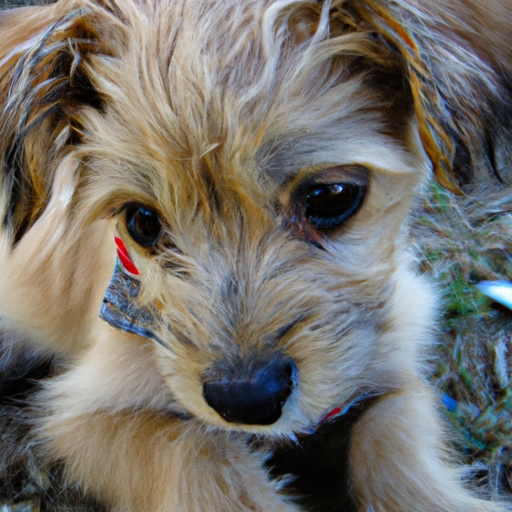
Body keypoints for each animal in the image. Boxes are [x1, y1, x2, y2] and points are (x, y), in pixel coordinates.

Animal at [0, 0, 510, 510]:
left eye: (331, 196)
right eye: (142, 220)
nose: (246, 400)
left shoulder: (392, 364)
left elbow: (394, 447)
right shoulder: (87, 414)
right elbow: (201, 455)